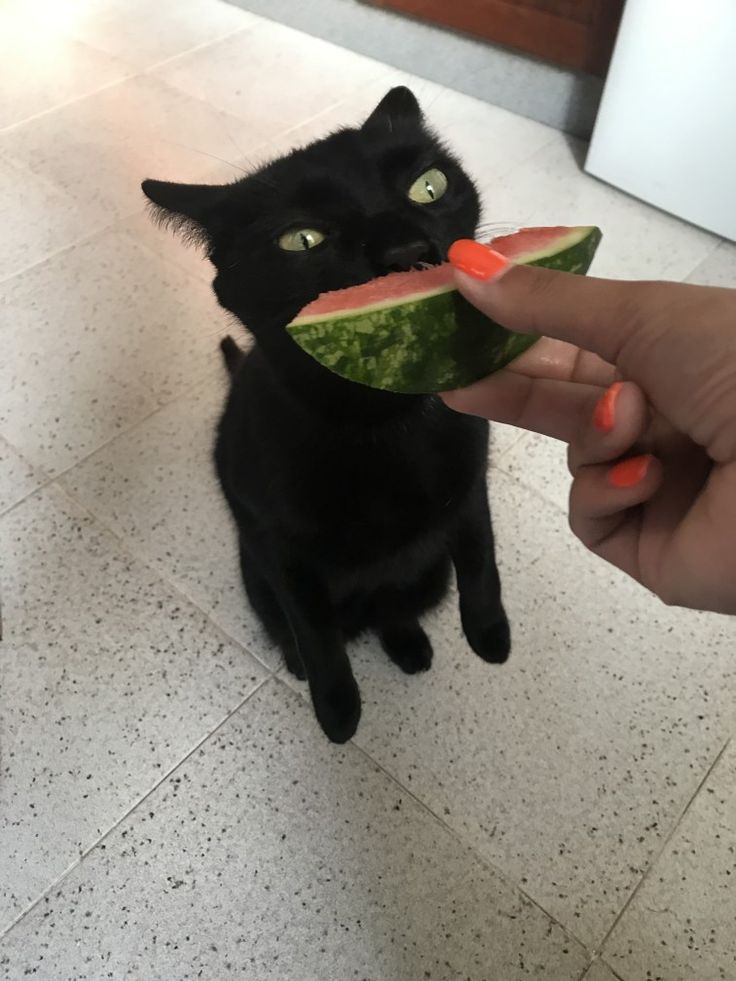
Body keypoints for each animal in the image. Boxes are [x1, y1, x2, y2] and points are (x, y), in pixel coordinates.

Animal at [144, 86, 512, 744]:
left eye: (429, 187)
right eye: (303, 240)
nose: (407, 252)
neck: (381, 419)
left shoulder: (472, 486)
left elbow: (481, 554)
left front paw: (490, 636)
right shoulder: (281, 553)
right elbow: (316, 634)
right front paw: (337, 710)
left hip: (427, 577)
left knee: (396, 606)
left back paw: (410, 647)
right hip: (256, 580)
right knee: (297, 630)